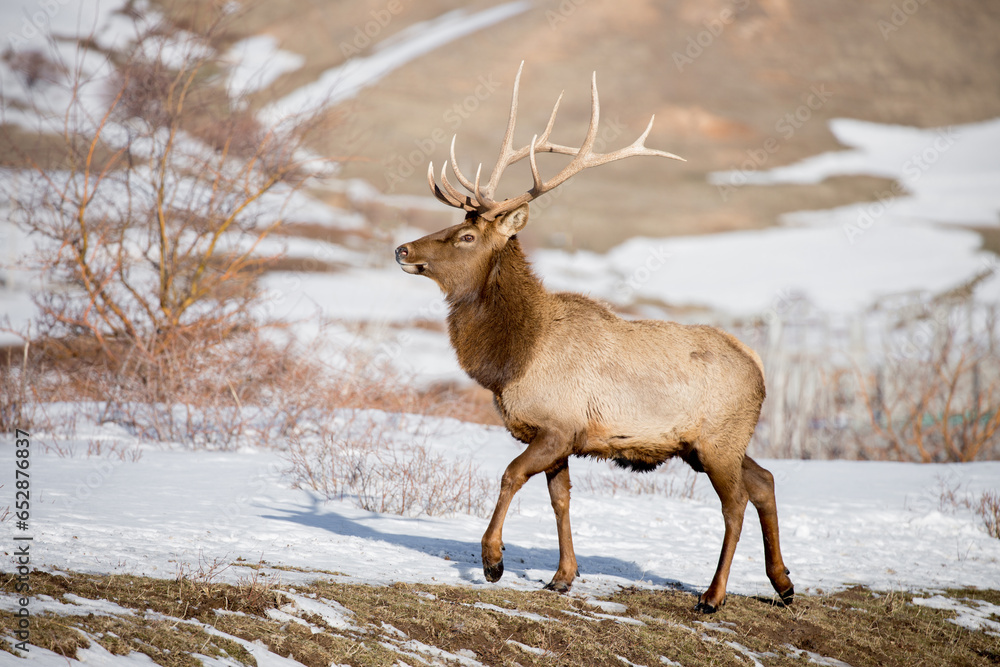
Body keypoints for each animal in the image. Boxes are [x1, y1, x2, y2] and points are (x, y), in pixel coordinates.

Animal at [394, 65, 792, 612]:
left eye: (466, 236)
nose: (402, 249)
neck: (512, 358)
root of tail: (758, 366)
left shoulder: (557, 425)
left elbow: (510, 475)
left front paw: (493, 562)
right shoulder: (558, 436)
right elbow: (560, 499)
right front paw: (562, 576)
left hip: (718, 439)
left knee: (735, 502)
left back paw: (712, 597)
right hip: (711, 442)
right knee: (765, 481)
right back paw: (784, 583)